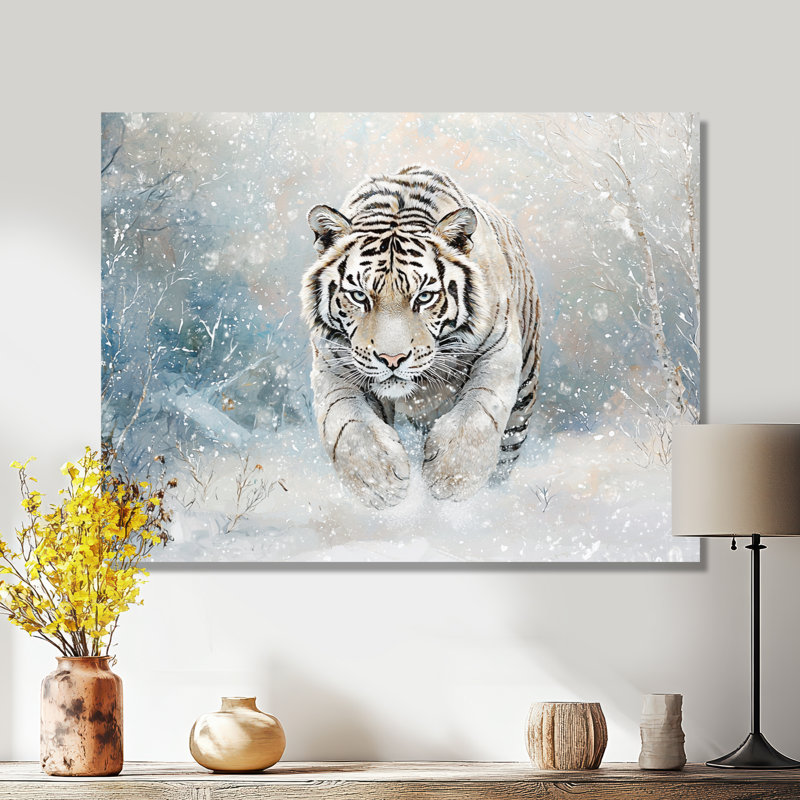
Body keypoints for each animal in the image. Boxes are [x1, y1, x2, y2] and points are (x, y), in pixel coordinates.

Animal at [300, 166, 541, 509]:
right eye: (359, 296)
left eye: (424, 297)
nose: (392, 359)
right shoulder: (334, 363)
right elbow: (345, 421)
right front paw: (380, 483)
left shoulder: (499, 349)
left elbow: (479, 411)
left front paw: (451, 478)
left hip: (522, 402)